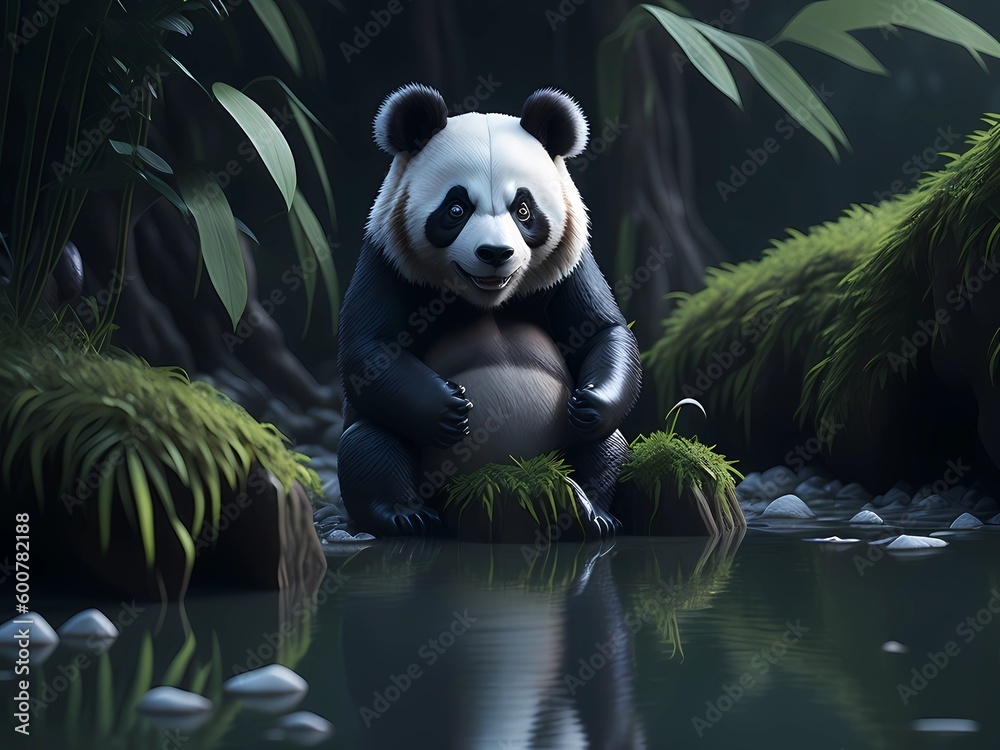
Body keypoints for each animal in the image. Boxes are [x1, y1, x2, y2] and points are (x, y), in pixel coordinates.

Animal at [337, 83, 642, 539]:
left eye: (523, 209)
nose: (496, 253)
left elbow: (602, 331)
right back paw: (405, 515)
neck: (486, 297)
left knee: (608, 446)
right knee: (368, 445)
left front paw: (590, 403)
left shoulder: (568, 266)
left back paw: (591, 510)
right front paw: (448, 408)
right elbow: (369, 349)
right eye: (456, 208)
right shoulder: (387, 260)